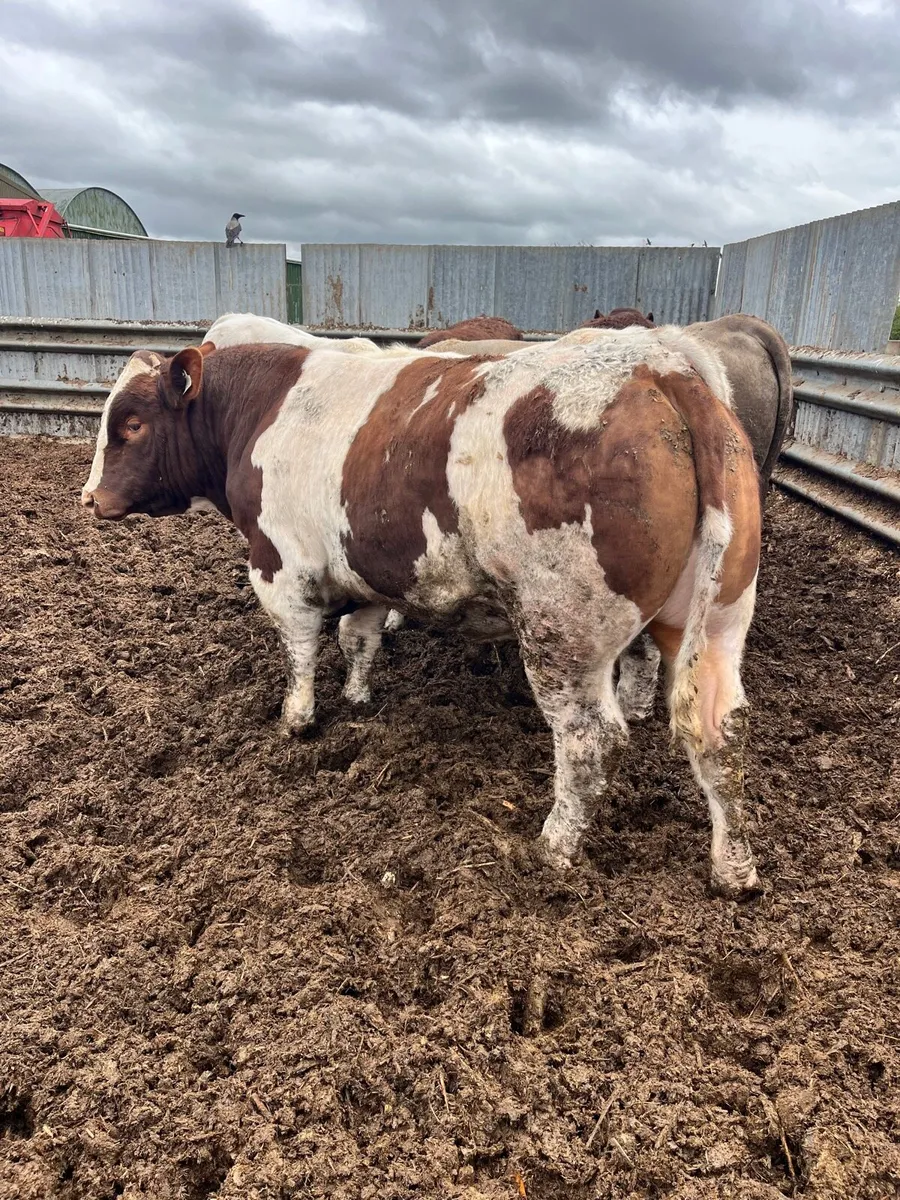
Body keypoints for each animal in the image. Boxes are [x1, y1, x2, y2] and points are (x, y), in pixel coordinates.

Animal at [82, 329, 763, 895]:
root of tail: (659, 369)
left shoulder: (279, 565)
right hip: (716, 618)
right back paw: (734, 868)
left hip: (562, 632)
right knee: (719, 733)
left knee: (590, 740)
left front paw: (297, 718)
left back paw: (555, 844)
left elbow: (300, 648)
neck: (263, 409)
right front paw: (358, 696)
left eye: (133, 424)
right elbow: (358, 637)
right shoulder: (361, 574)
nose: (90, 498)